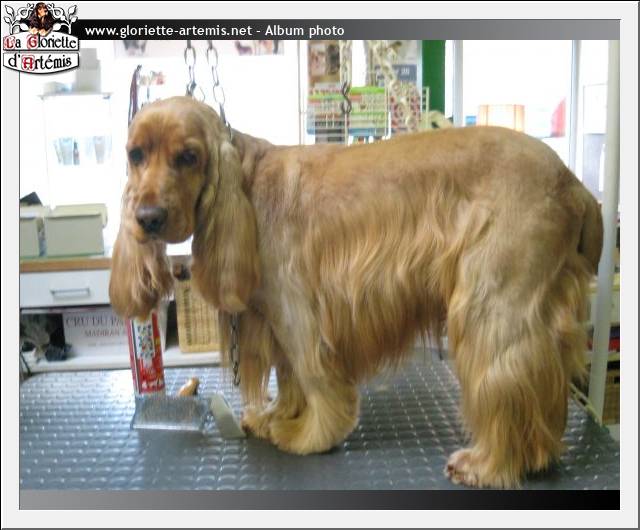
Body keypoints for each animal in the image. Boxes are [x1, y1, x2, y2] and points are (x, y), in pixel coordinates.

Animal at [109, 96, 603, 488]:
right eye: (135, 154)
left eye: (188, 157)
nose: (148, 218)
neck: (245, 183)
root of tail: (573, 183)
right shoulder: (275, 316)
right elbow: (289, 380)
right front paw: (275, 417)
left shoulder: (298, 310)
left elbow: (314, 378)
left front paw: (309, 436)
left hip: (492, 305)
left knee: (505, 384)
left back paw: (490, 462)